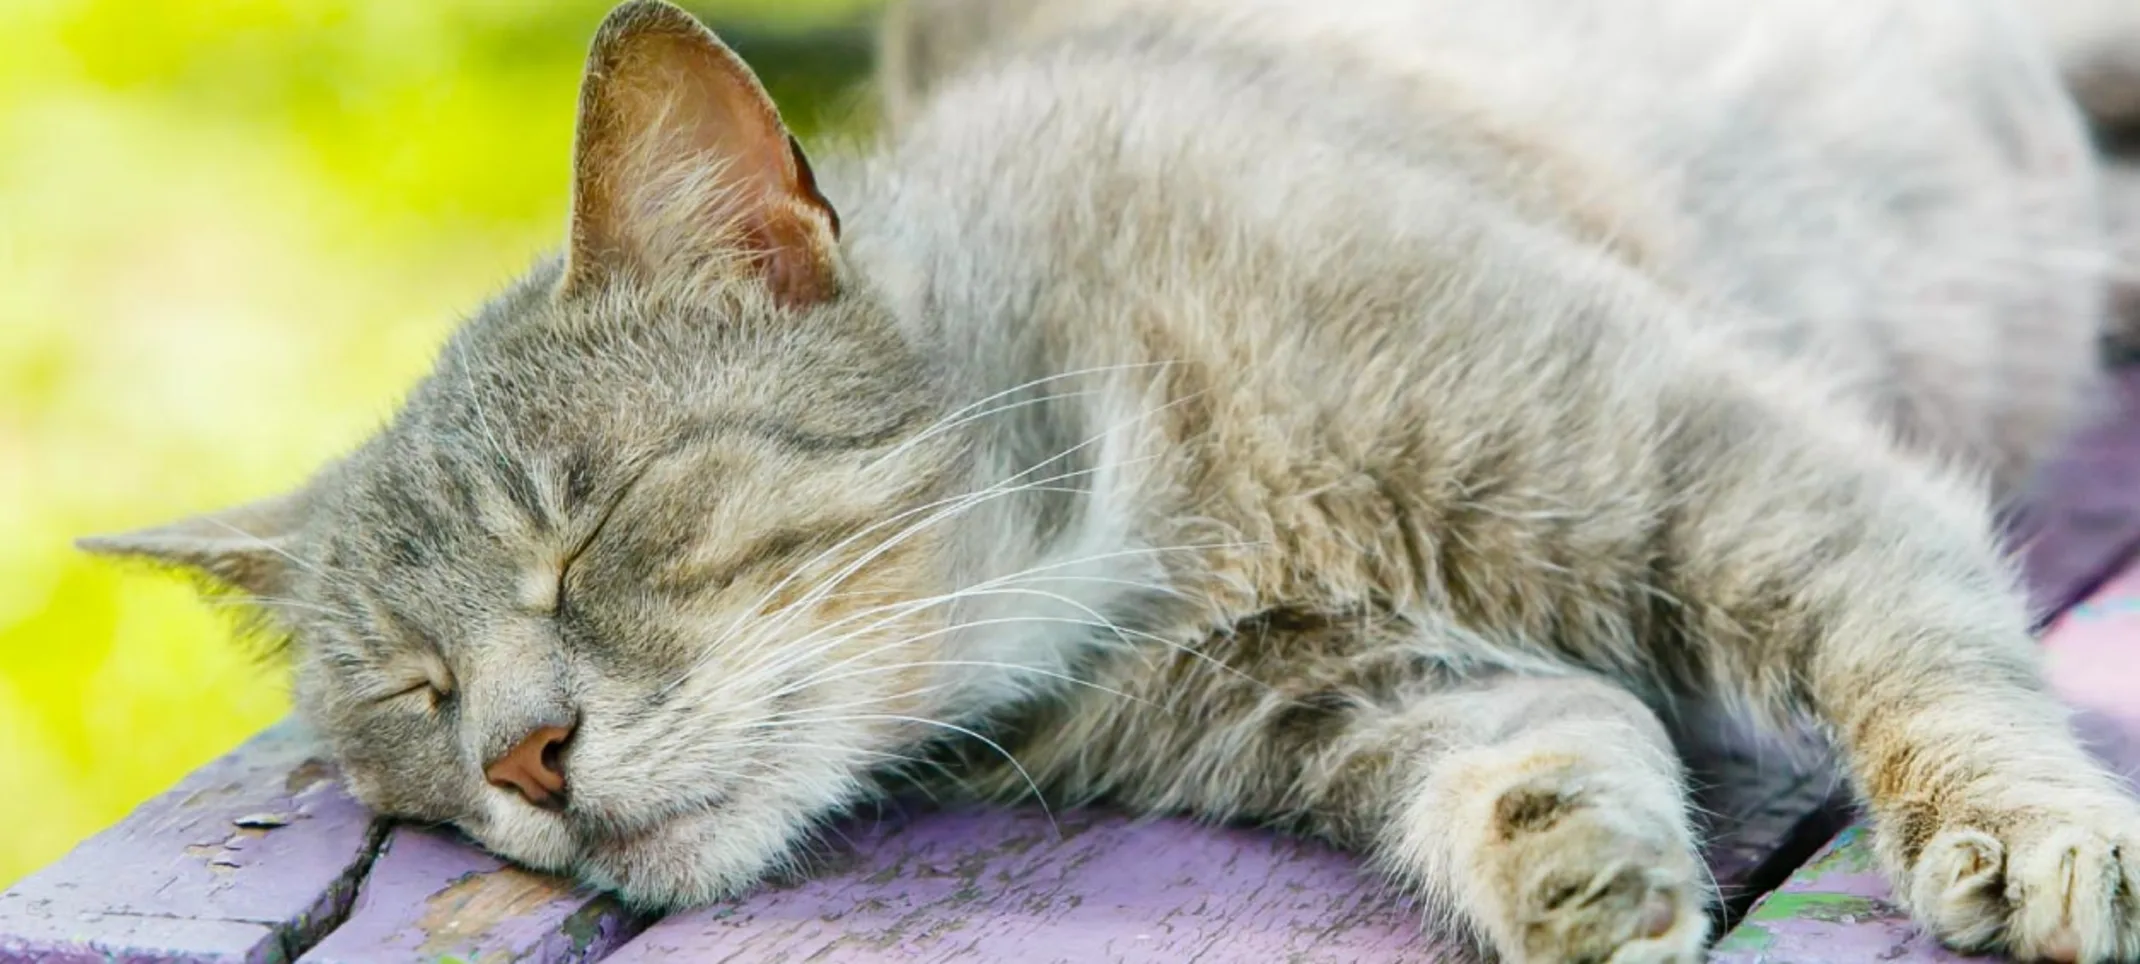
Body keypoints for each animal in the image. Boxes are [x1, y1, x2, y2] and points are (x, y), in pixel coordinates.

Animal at [87, 0, 2140, 959]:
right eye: (409, 695)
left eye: (588, 522)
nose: (521, 757)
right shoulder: (1334, 684)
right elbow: (1519, 734)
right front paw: (1573, 855)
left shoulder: (1722, 456)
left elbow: (1923, 649)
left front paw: (2029, 831)